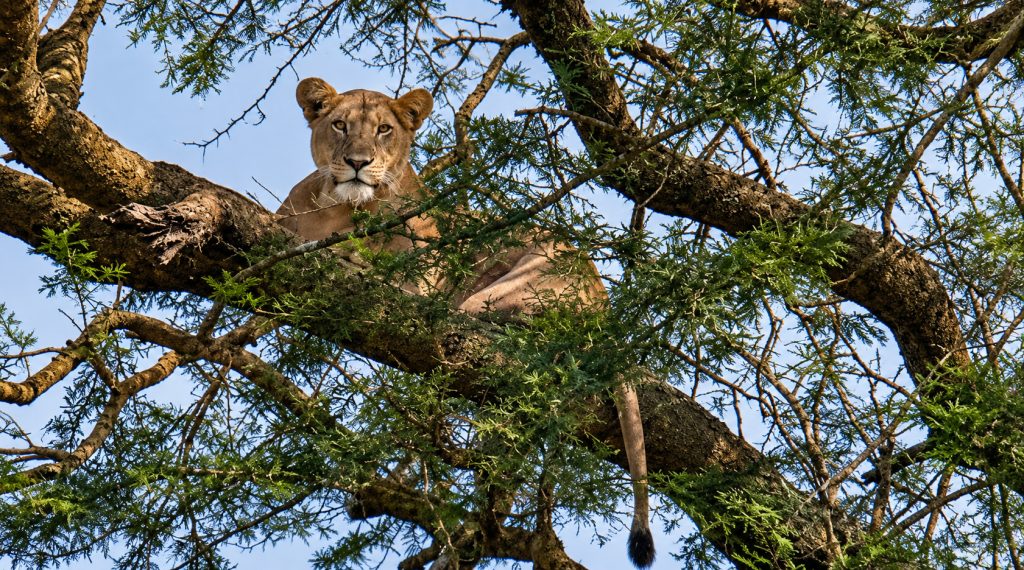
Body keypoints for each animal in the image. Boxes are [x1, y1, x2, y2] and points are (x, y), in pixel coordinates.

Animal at [276, 77, 655, 568]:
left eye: (383, 130)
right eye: (339, 125)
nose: (358, 163)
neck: (333, 208)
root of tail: (607, 311)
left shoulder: (412, 285)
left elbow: (353, 261)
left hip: (511, 280)